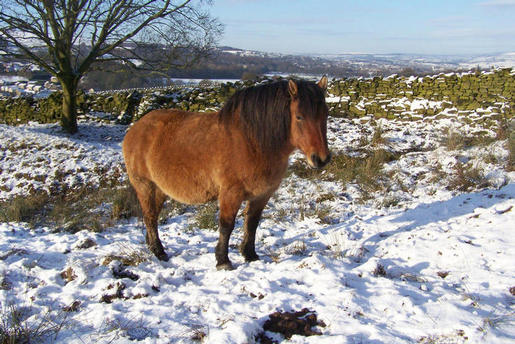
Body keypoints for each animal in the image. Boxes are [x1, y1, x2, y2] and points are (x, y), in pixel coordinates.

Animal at [122, 76, 330, 270]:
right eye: (299, 117)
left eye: (326, 115)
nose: (321, 159)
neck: (252, 142)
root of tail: (136, 128)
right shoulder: (231, 193)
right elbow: (226, 225)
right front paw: (223, 261)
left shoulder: (262, 194)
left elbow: (252, 223)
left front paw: (250, 255)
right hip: (145, 186)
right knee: (149, 217)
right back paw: (159, 252)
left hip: (159, 189)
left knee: (153, 217)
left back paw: (153, 247)